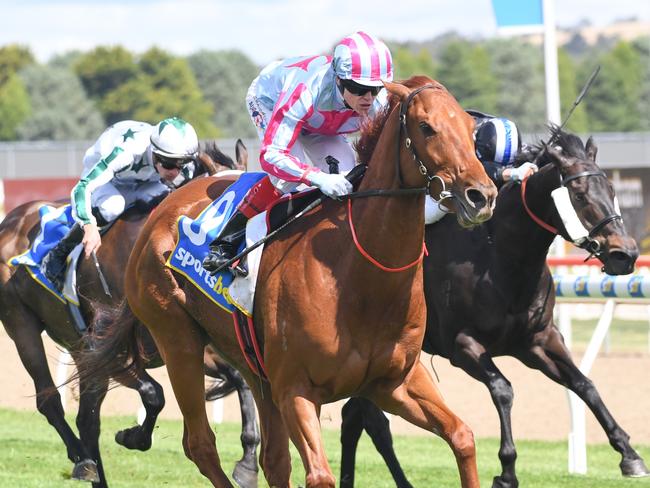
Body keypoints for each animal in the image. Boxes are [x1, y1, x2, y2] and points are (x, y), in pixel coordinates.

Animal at [0, 141, 258, 488]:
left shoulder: (190, 346)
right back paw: (81, 458)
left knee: (87, 421)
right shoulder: (108, 349)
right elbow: (154, 394)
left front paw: (247, 463)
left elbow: (241, 381)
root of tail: (12, 219)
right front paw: (133, 437)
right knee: (50, 400)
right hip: (21, 323)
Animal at [90, 74, 496, 486]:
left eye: (470, 129)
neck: (359, 279)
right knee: (200, 444)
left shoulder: (395, 384)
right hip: (177, 339)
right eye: (426, 127)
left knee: (272, 459)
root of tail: (161, 211)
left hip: (252, 365)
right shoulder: (296, 389)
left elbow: (462, 436)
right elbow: (319, 475)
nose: (481, 195)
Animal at [336, 127, 644, 488]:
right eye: (580, 195)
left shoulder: (538, 340)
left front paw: (630, 454)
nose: (625, 254)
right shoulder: (462, 345)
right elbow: (503, 390)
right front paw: (507, 470)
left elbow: (586, 385)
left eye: (611, 190)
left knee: (356, 418)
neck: (501, 259)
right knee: (367, 419)